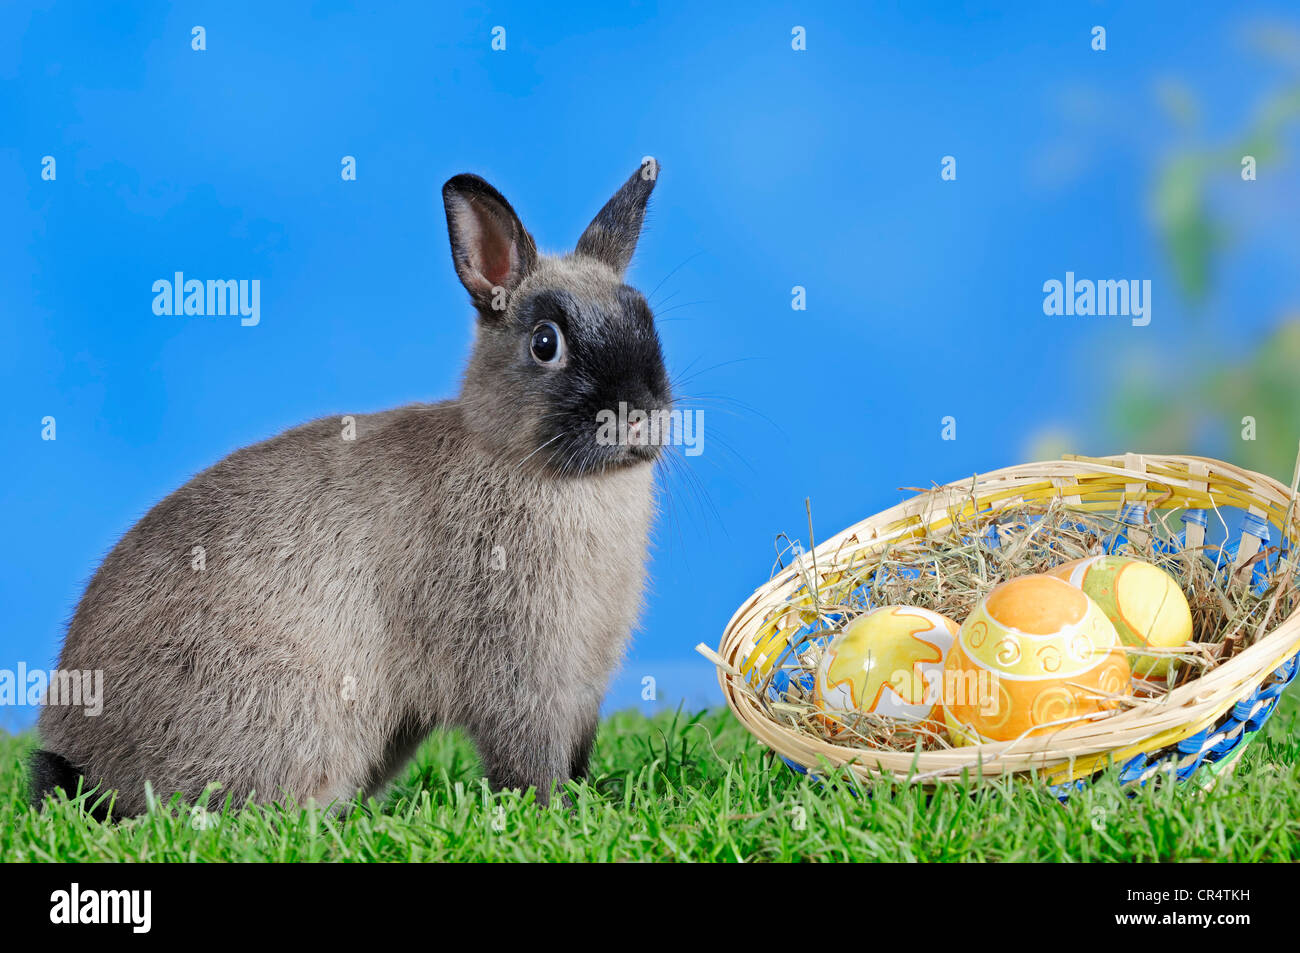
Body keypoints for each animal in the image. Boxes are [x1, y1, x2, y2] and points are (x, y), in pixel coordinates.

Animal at [30, 159, 672, 815]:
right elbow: (528, 762)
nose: (638, 417)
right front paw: (554, 811)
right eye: (546, 343)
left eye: (647, 321)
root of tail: (82, 754)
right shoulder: (520, 680)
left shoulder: (583, 692)